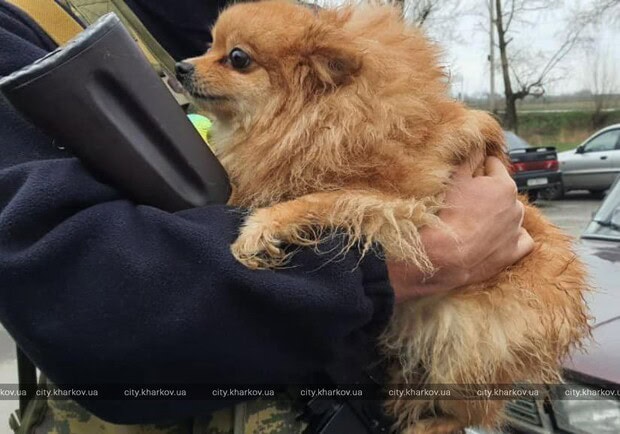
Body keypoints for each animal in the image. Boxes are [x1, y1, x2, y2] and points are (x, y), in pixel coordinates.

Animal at [178, 1, 592, 432]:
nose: (181, 66)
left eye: (237, 58)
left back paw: (427, 422)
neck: (320, 117)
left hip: (471, 346)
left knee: (468, 411)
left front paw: (261, 226)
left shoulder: (408, 203)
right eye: (209, 46)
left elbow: (327, 199)